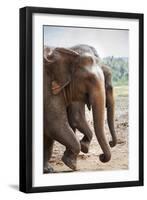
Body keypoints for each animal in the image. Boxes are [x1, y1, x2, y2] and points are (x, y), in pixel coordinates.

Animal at [43, 44, 111, 173]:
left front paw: (49, 170)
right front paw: (71, 164)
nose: (101, 157)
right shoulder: (48, 88)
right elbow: (56, 124)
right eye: (89, 79)